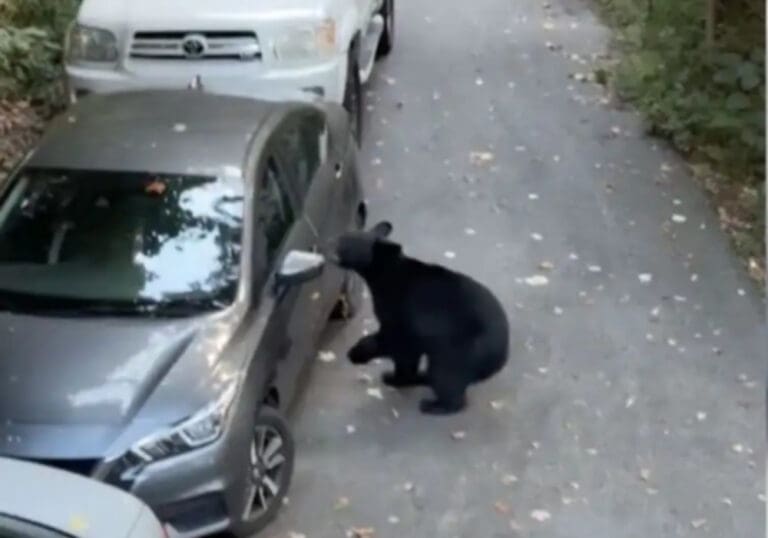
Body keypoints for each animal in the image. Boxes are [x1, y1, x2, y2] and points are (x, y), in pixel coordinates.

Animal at [330, 221, 509, 415]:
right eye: (343, 236)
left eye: (347, 241)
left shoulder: (402, 310)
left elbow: (397, 342)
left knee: (446, 374)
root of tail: (501, 356)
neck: (385, 274)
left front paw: (363, 357)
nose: (330, 243)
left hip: (460, 350)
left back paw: (435, 405)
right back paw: (424, 378)